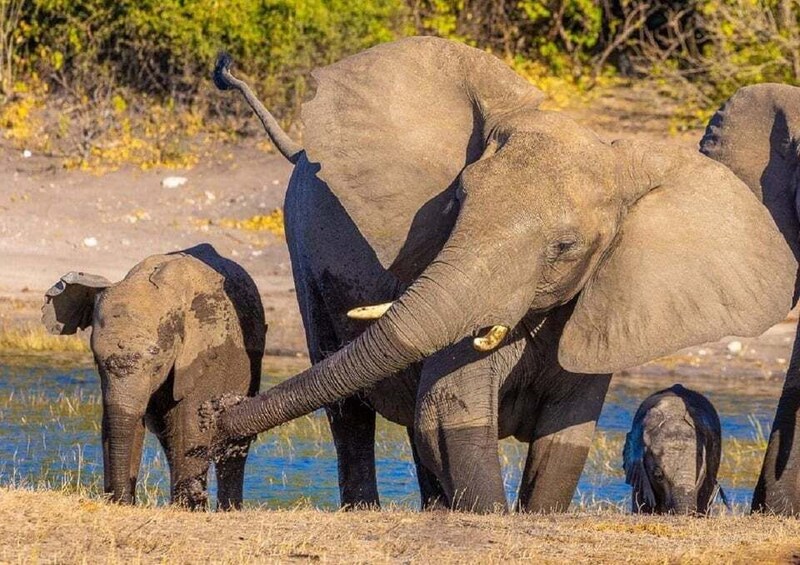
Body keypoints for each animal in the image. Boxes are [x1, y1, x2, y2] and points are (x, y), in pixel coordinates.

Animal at [42, 245, 266, 508]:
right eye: (96, 361)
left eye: (157, 365)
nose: (123, 500)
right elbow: (118, 421)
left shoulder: (205, 353)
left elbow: (191, 424)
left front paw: (187, 510)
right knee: (168, 437)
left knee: (232, 445)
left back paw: (225, 509)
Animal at [211, 35, 792, 512]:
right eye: (457, 202)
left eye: (565, 247)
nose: (220, 417)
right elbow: (450, 413)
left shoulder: (601, 303)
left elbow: (564, 440)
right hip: (302, 247)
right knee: (347, 408)